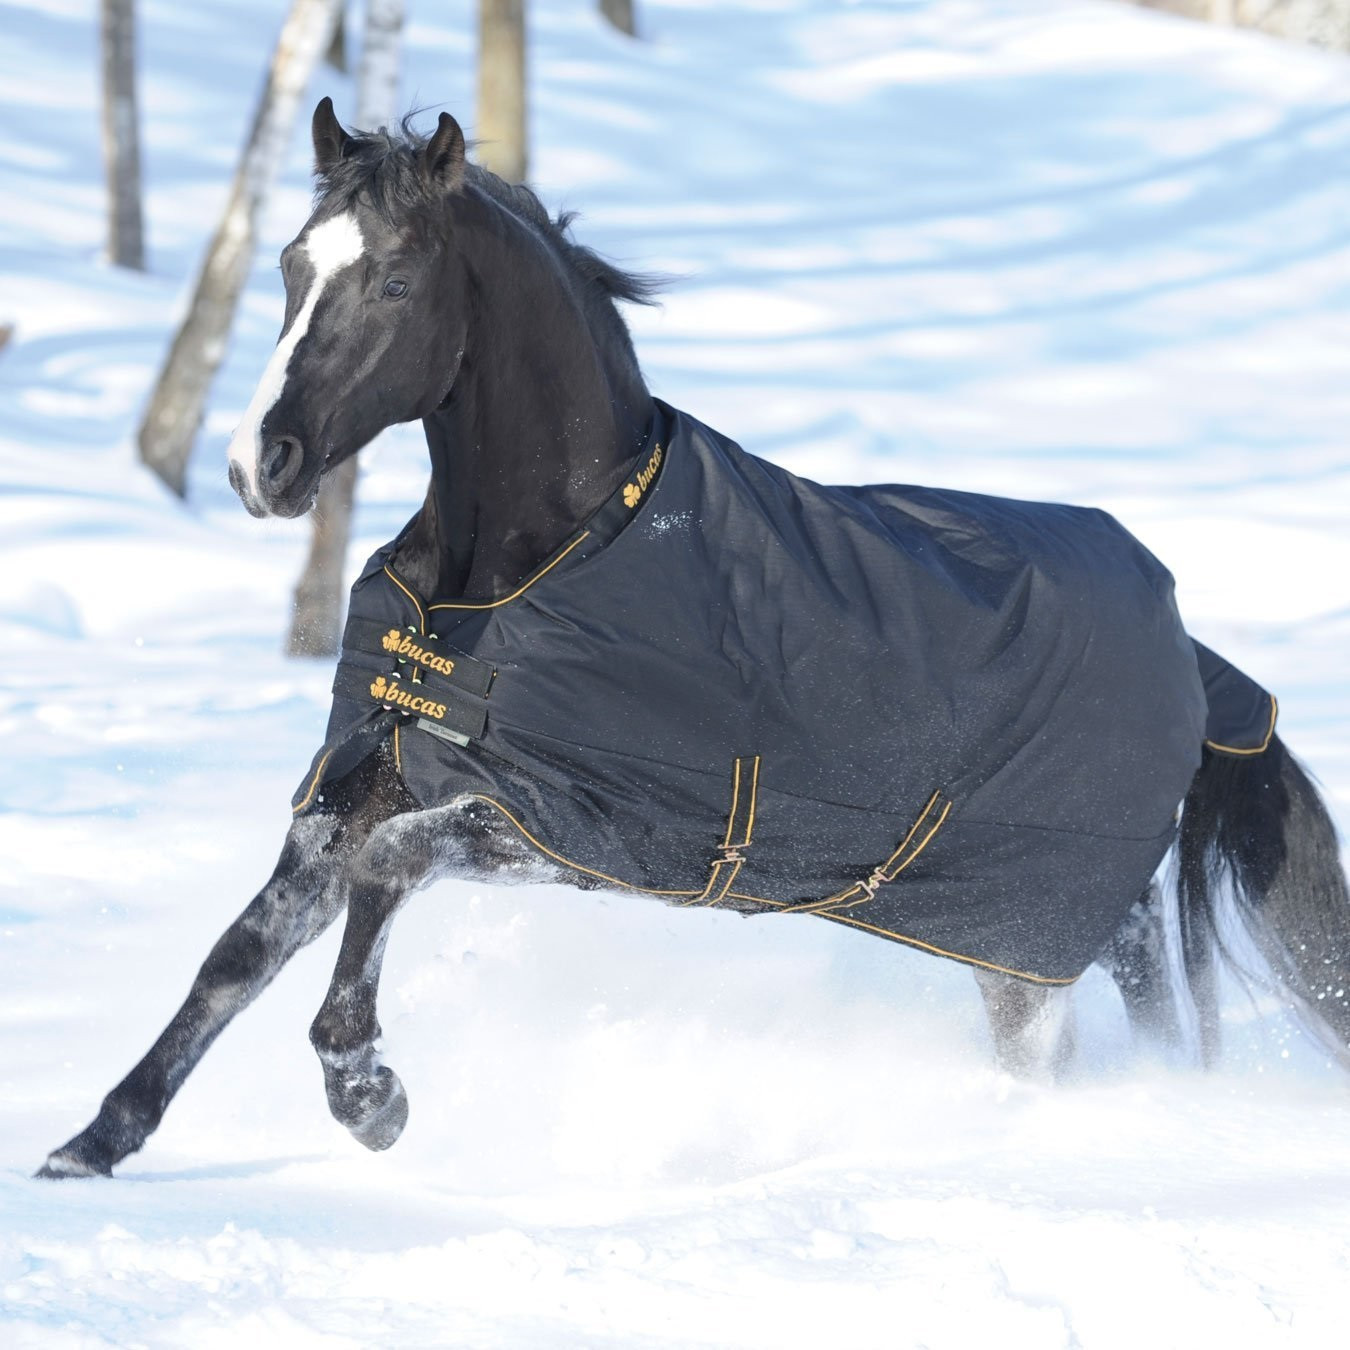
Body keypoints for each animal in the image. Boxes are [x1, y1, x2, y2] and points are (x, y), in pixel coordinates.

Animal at [39, 99, 1350, 1177]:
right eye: (292, 263)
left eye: (401, 280)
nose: (257, 466)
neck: (537, 564)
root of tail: (1197, 663)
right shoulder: (374, 773)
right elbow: (242, 950)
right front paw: (91, 1149)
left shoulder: (582, 829)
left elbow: (389, 869)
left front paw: (368, 1095)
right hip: (1043, 935)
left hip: (1029, 946)